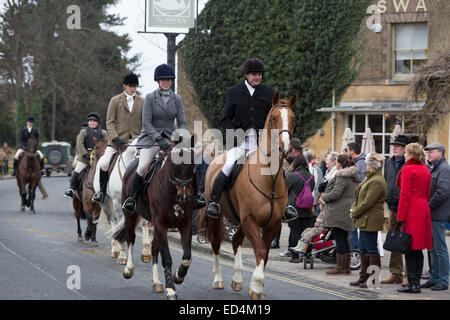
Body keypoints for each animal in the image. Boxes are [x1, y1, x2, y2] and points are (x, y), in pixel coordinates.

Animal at [119, 135, 197, 300]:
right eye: (175, 162)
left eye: (193, 162)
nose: (185, 196)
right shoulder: (161, 224)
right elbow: (167, 258)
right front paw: (171, 290)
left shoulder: (185, 223)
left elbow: (187, 256)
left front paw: (178, 276)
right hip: (130, 215)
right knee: (130, 238)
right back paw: (128, 269)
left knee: (155, 248)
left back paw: (157, 282)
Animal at [199, 92, 298, 300]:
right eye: (274, 118)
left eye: (293, 118)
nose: (285, 148)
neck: (269, 179)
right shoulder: (250, 218)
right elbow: (259, 248)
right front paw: (257, 285)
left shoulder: (273, 223)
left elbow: (265, 252)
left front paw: (257, 287)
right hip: (219, 217)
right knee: (216, 244)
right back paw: (218, 279)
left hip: (240, 220)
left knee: (236, 240)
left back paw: (237, 279)